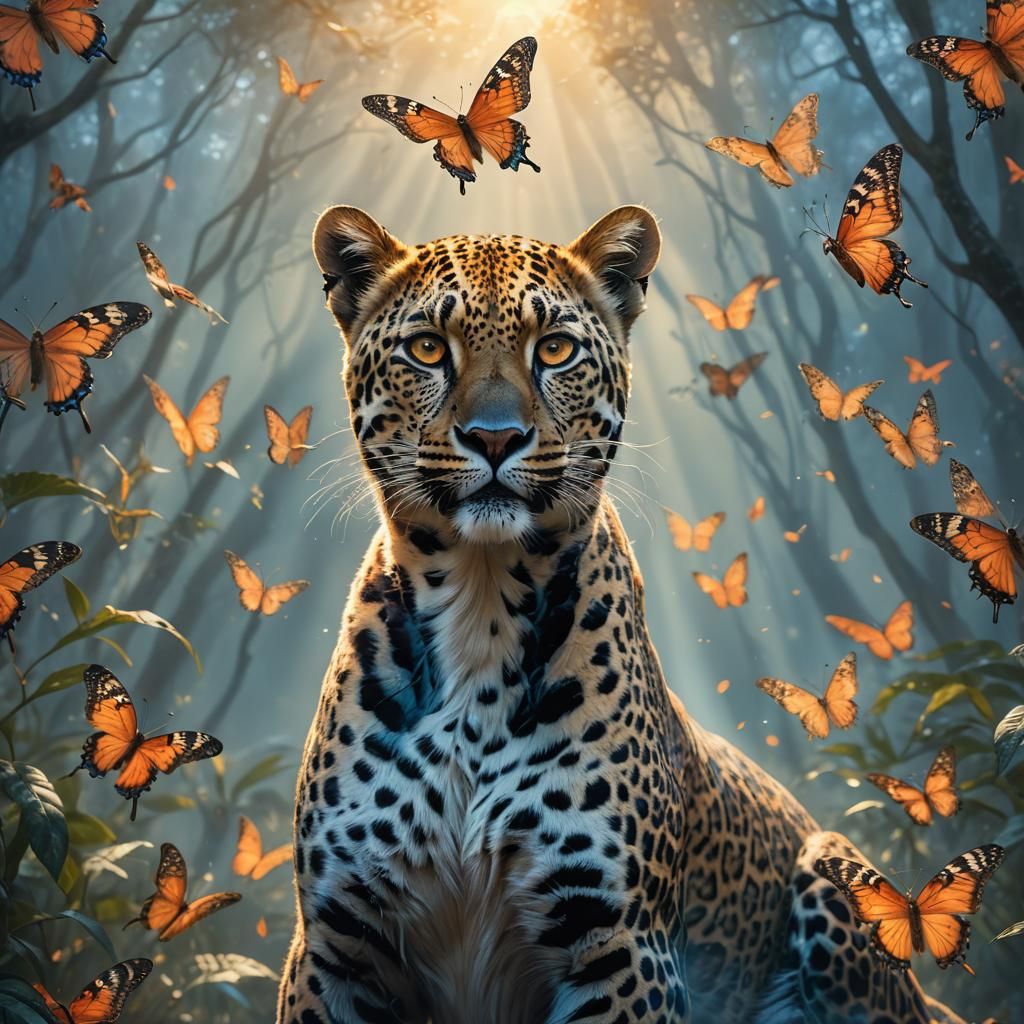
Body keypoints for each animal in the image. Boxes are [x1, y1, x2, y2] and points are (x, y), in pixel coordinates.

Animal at [278, 203, 969, 1024]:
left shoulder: (623, 946)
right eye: (426, 349)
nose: (494, 437)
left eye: (555, 348)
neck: (480, 604)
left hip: (833, 870)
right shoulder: (333, 940)